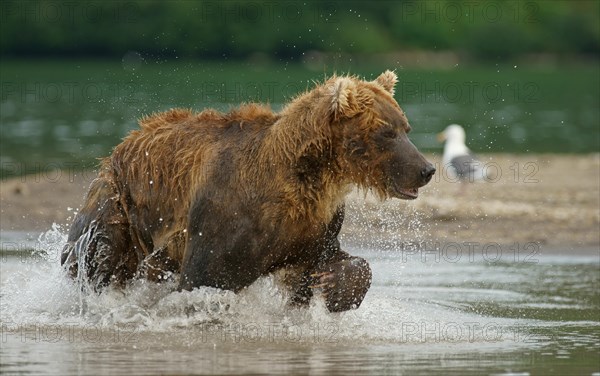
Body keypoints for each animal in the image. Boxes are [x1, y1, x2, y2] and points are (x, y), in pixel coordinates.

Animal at [62, 70, 436, 312]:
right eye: (387, 133)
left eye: (406, 127)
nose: (427, 169)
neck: (309, 177)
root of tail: (123, 143)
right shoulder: (228, 217)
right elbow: (205, 279)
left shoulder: (314, 223)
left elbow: (331, 261)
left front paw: (334, 283)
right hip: (119, 204)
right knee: (98, 256)